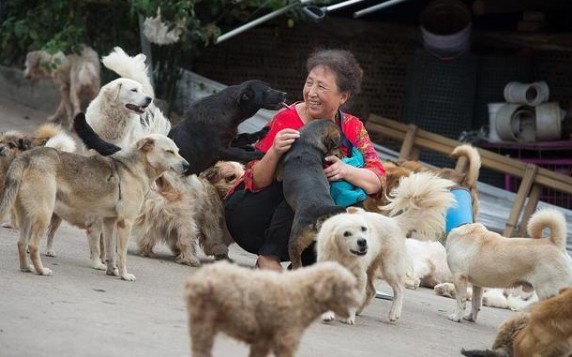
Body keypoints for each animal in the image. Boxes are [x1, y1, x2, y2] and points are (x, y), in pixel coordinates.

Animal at [185, 258, 360, 356]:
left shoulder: (263, 339)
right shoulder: (287, 336)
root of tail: (199, 277)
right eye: (347, 287)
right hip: (204, 319)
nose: (358, 304)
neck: (303, 291)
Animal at [278, 118, 344, 268]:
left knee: (296, 260)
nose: (344, 156)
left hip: (295, 240)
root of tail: (322, 211)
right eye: (338, 146)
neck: (307, 140)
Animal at [312, 172, 456, 322]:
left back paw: (394, 313)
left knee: (399, 289)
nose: (363, 242)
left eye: (364, 228)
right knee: (372, 291)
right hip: (372, 270)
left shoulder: (359, 277)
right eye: (347, 233)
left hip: (389, 268)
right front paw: (328, 314)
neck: (344, 254)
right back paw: (360, 310)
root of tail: (395, 222)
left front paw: (348, 317)